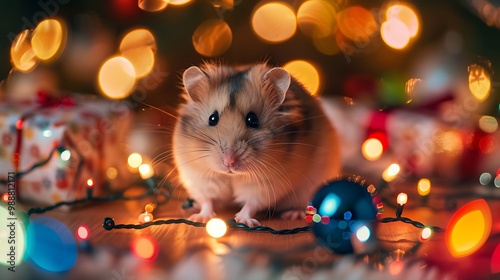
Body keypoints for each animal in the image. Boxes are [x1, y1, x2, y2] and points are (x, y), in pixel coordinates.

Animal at [172, 62, 340, 226]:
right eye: (212, 118)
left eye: (253, 120)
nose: (229, 162)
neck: (232, 176)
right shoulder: (199, 178)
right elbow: (207, 200)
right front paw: (200, 218)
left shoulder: (265, 184)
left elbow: (251, 204)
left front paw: (243, 221)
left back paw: (292, 214)